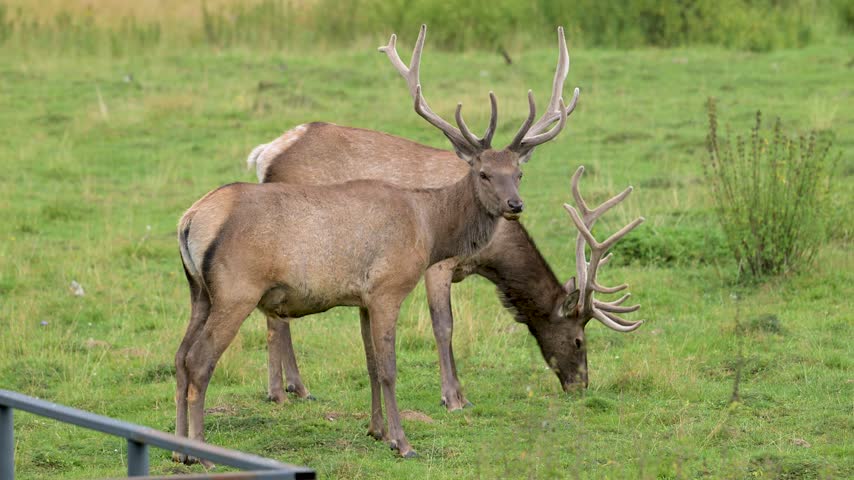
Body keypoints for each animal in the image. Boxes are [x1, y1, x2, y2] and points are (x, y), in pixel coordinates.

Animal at [173, 43, 573, 461]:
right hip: (236, 290)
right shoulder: (388, 288)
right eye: (483, 173)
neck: (429, 228)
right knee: (200, 361)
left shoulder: (362, 299)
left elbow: (369, 364)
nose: (515, 204)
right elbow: (389, 368)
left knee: (180, 358)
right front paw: (403, 441)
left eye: (518, 173)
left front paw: (377, 431)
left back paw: (177, 447)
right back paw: (198, 449)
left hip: (200, 291)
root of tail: (190, 218)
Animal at [247, 26, 643, 411]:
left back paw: (292, 388)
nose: (581, 385)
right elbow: (444, 326)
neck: (486, 255)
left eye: (520, 174)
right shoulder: (438, 265)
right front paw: (453, 397)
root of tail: (266, 153)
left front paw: (460, 394)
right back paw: (285, 389)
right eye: (578, 339)